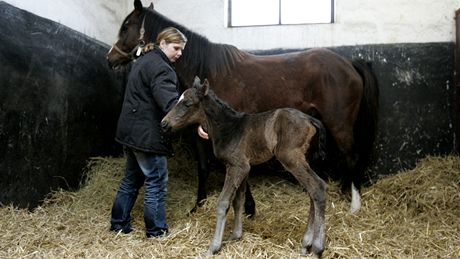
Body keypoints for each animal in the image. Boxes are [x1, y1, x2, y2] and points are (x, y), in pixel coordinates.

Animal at [162, 77, 328, 258]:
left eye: (187, 104)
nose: (164, 123)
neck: (228, 128)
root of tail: (311, 120)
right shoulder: (243, 168)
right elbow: (238, 200)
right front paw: (235, 235)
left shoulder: (237, 166)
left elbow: (223, 203)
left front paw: (213, 247)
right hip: (304, 160)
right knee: (312, 192)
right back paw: (306, 245)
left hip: (291, 158)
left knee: (318, 187)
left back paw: (317, 248)